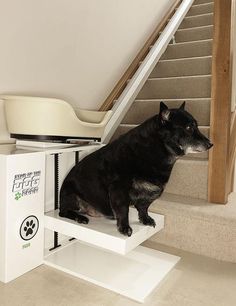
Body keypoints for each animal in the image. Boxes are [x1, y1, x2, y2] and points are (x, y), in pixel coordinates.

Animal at [59, 101, 212, 235]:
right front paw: (124, 227)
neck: (157, 150)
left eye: (196, 126)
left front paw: (145, 219)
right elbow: (123, 210)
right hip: (71, 196)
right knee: (63, 212)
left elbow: (144, 207)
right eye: (189, 128)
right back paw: (80, 217)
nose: (211, 144)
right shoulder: (119, 189)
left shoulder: (154, 190)